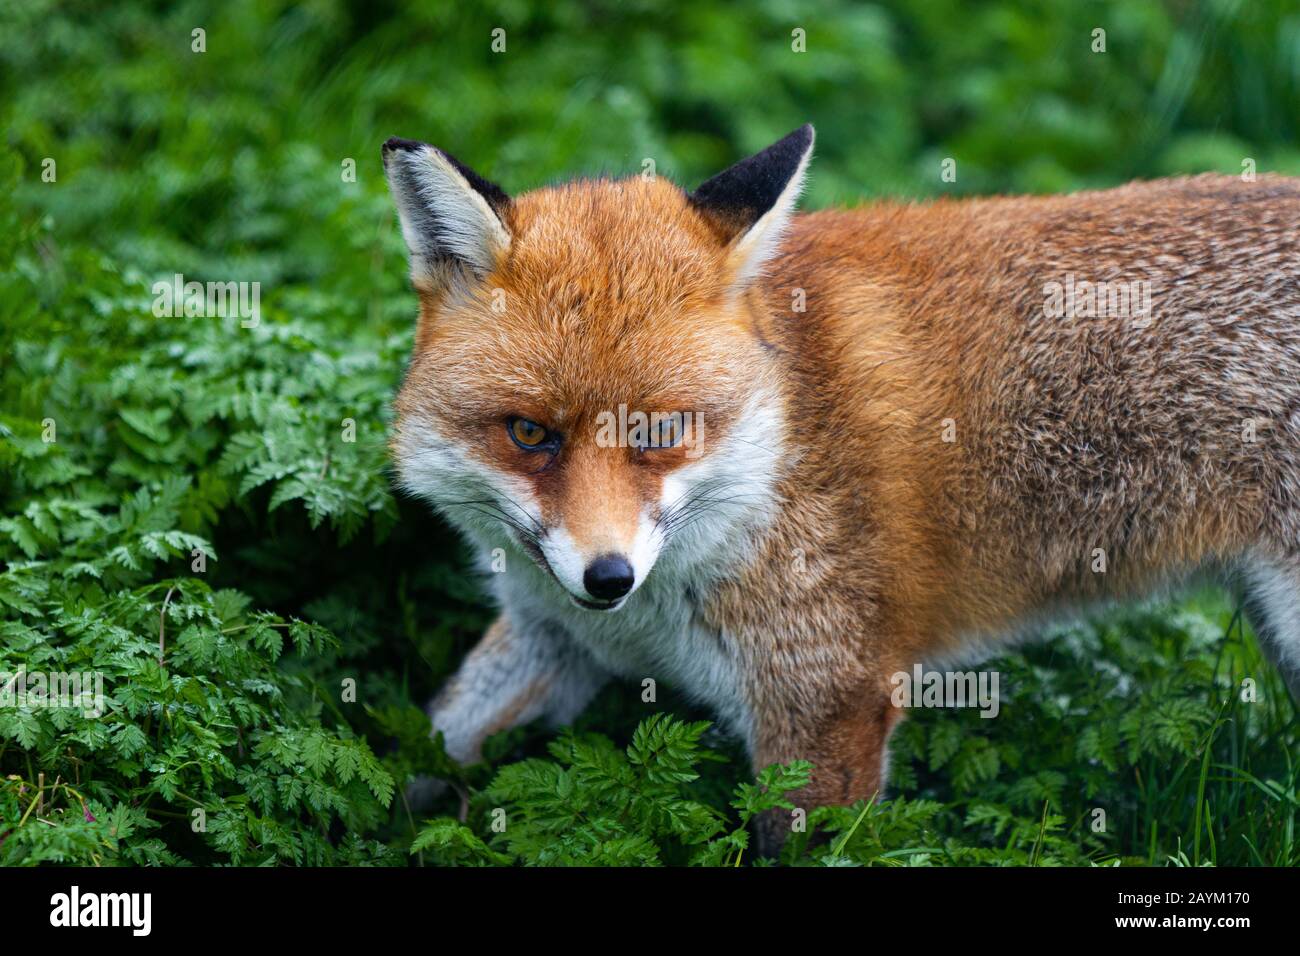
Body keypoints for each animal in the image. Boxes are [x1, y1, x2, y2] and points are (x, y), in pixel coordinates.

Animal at [379, 123, 1300, 842]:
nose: (608, 578)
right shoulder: (554, 638)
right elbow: (414, 756)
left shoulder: (828, 700)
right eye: (530, 434)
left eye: (662, 432)